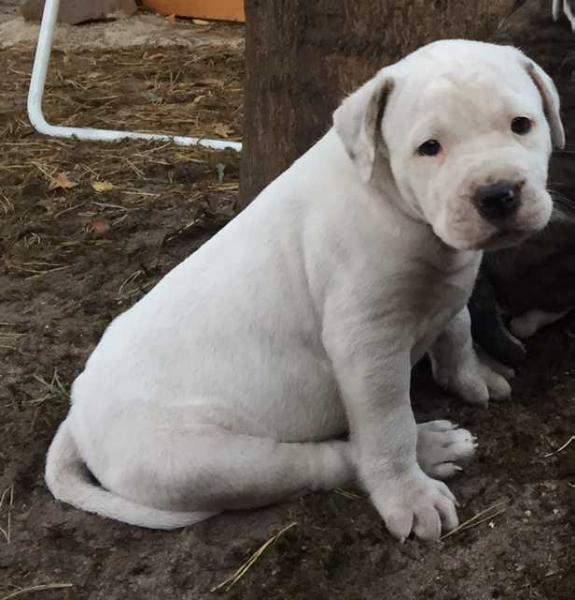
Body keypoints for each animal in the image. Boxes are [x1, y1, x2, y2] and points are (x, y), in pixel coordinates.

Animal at [45, 39, 564, 540]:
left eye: (522, 124)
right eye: (429, 148)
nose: (497, 194)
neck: (391, 200)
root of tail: (76, 413)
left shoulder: (449, 285)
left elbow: (457, 330)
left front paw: (474, 377)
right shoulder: (367, 347)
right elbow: (388, 426)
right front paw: (410, 498)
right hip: (204, 460)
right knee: (323, 461)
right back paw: (430, 448)